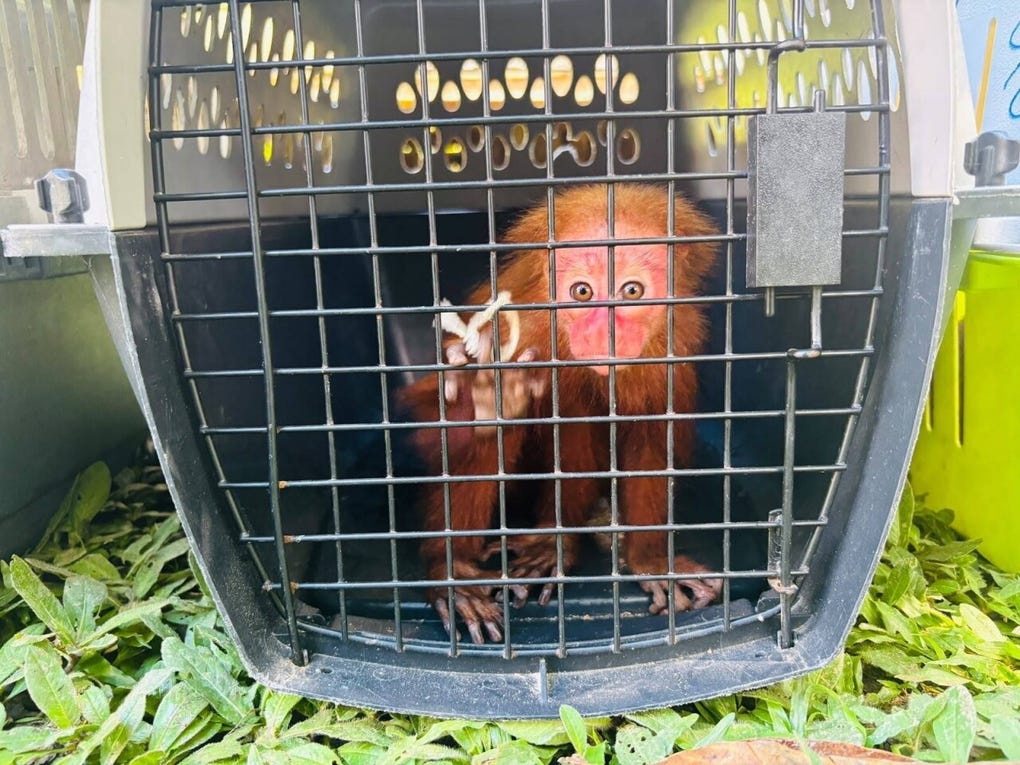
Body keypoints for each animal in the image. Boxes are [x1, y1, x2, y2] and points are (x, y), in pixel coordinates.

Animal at [397, 183, 721, 644]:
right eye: (582, 292)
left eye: (632, 291)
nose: (605, 334)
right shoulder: (509, 333)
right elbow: (433, 429)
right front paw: (486, 399)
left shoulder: (670, 358)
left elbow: (653, 440)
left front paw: (652, 560)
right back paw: (456, 572)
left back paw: (556, 542)